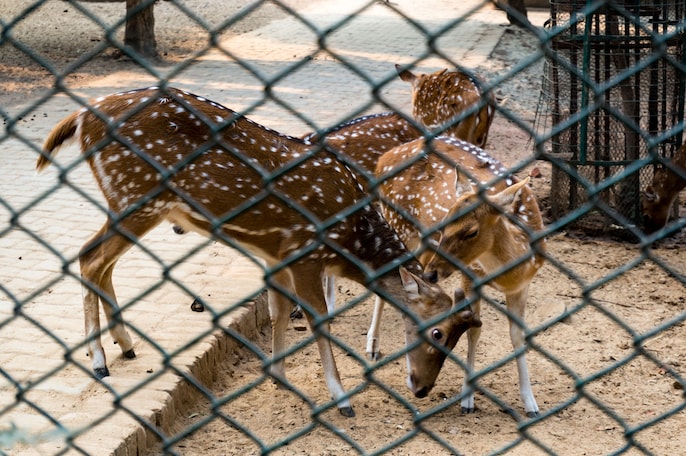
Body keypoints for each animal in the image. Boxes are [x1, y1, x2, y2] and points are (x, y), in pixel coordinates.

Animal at [36, 86, 482, 417]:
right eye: (437, 332)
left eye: (458, 336)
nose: (422, 388)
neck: (350, 238)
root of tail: (82, 117)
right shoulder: (304, 251)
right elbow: (318, 319)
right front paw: (341, 398)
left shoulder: (276, 255)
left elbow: (277, 311)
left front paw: (279, 376)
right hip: (137, 196)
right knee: (90, 256)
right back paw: (99, 360)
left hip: (129, 201)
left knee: (101, 261)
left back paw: (125, 343)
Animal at [372, 135, 546, 418]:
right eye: (443, 225)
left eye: (471, 231)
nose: (432, 274)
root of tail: (384, 158)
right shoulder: (470, 275)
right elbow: (474, 331)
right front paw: (467, 399)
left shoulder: (523, 285)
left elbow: (518, 336)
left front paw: (531, 403)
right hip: (399, 223)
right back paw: (372, 347)